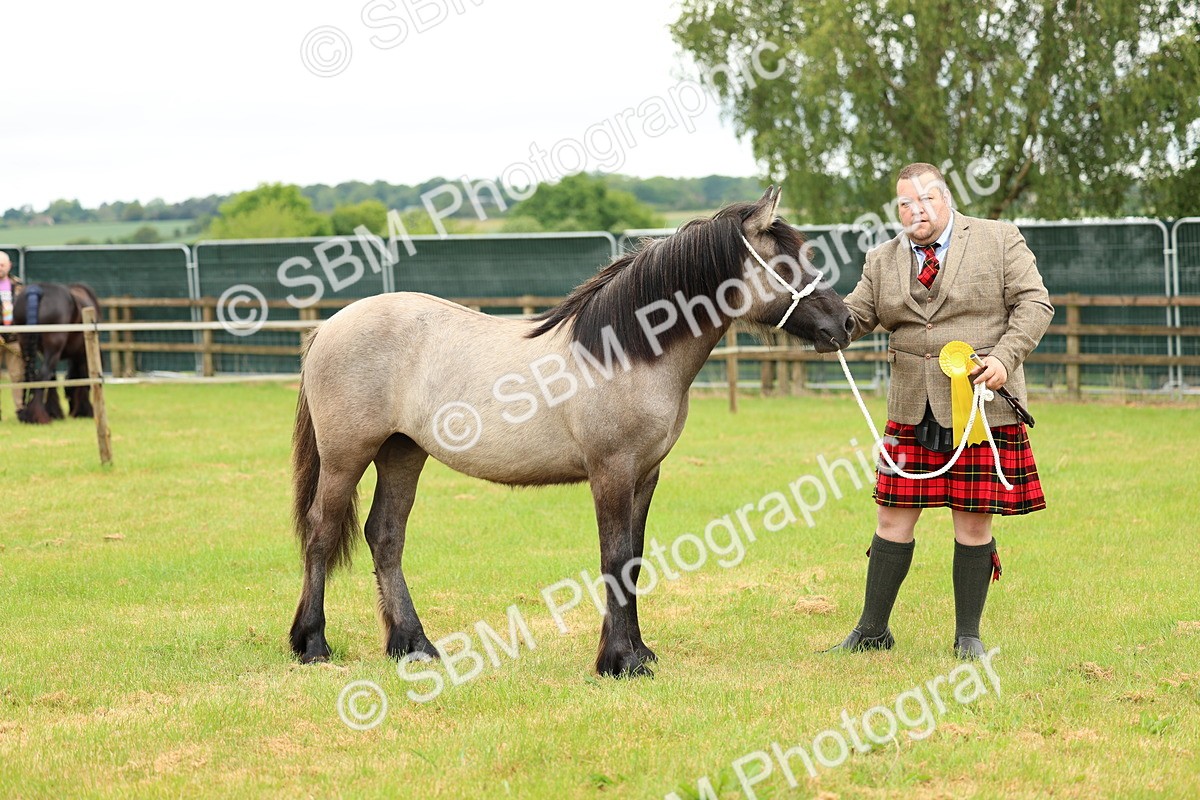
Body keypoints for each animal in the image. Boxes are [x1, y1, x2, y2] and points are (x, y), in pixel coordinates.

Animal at [14, 282, 100, 424]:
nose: (72, 411)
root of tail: (35, 291)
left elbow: (52, 379)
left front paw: (54, 412)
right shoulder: (82, 354)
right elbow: (84, 379)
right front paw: (85, 411)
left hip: (26, 344)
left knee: (30, 377)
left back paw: (26, 414)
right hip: (53, 349)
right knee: (42, 376)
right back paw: (38, 416)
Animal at [289, 188, 854, 676]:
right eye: (787, 264)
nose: (845, 323)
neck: (628, 351)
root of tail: (328, 327)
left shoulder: (645, 474)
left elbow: (634, 560)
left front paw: (637, 652)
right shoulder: (611, 471)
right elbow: (615, 557)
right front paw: (620, 662)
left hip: (402, 452)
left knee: (386, 535)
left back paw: (414, 646)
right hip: (346, 455)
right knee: (321, 530)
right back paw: (312, 644)